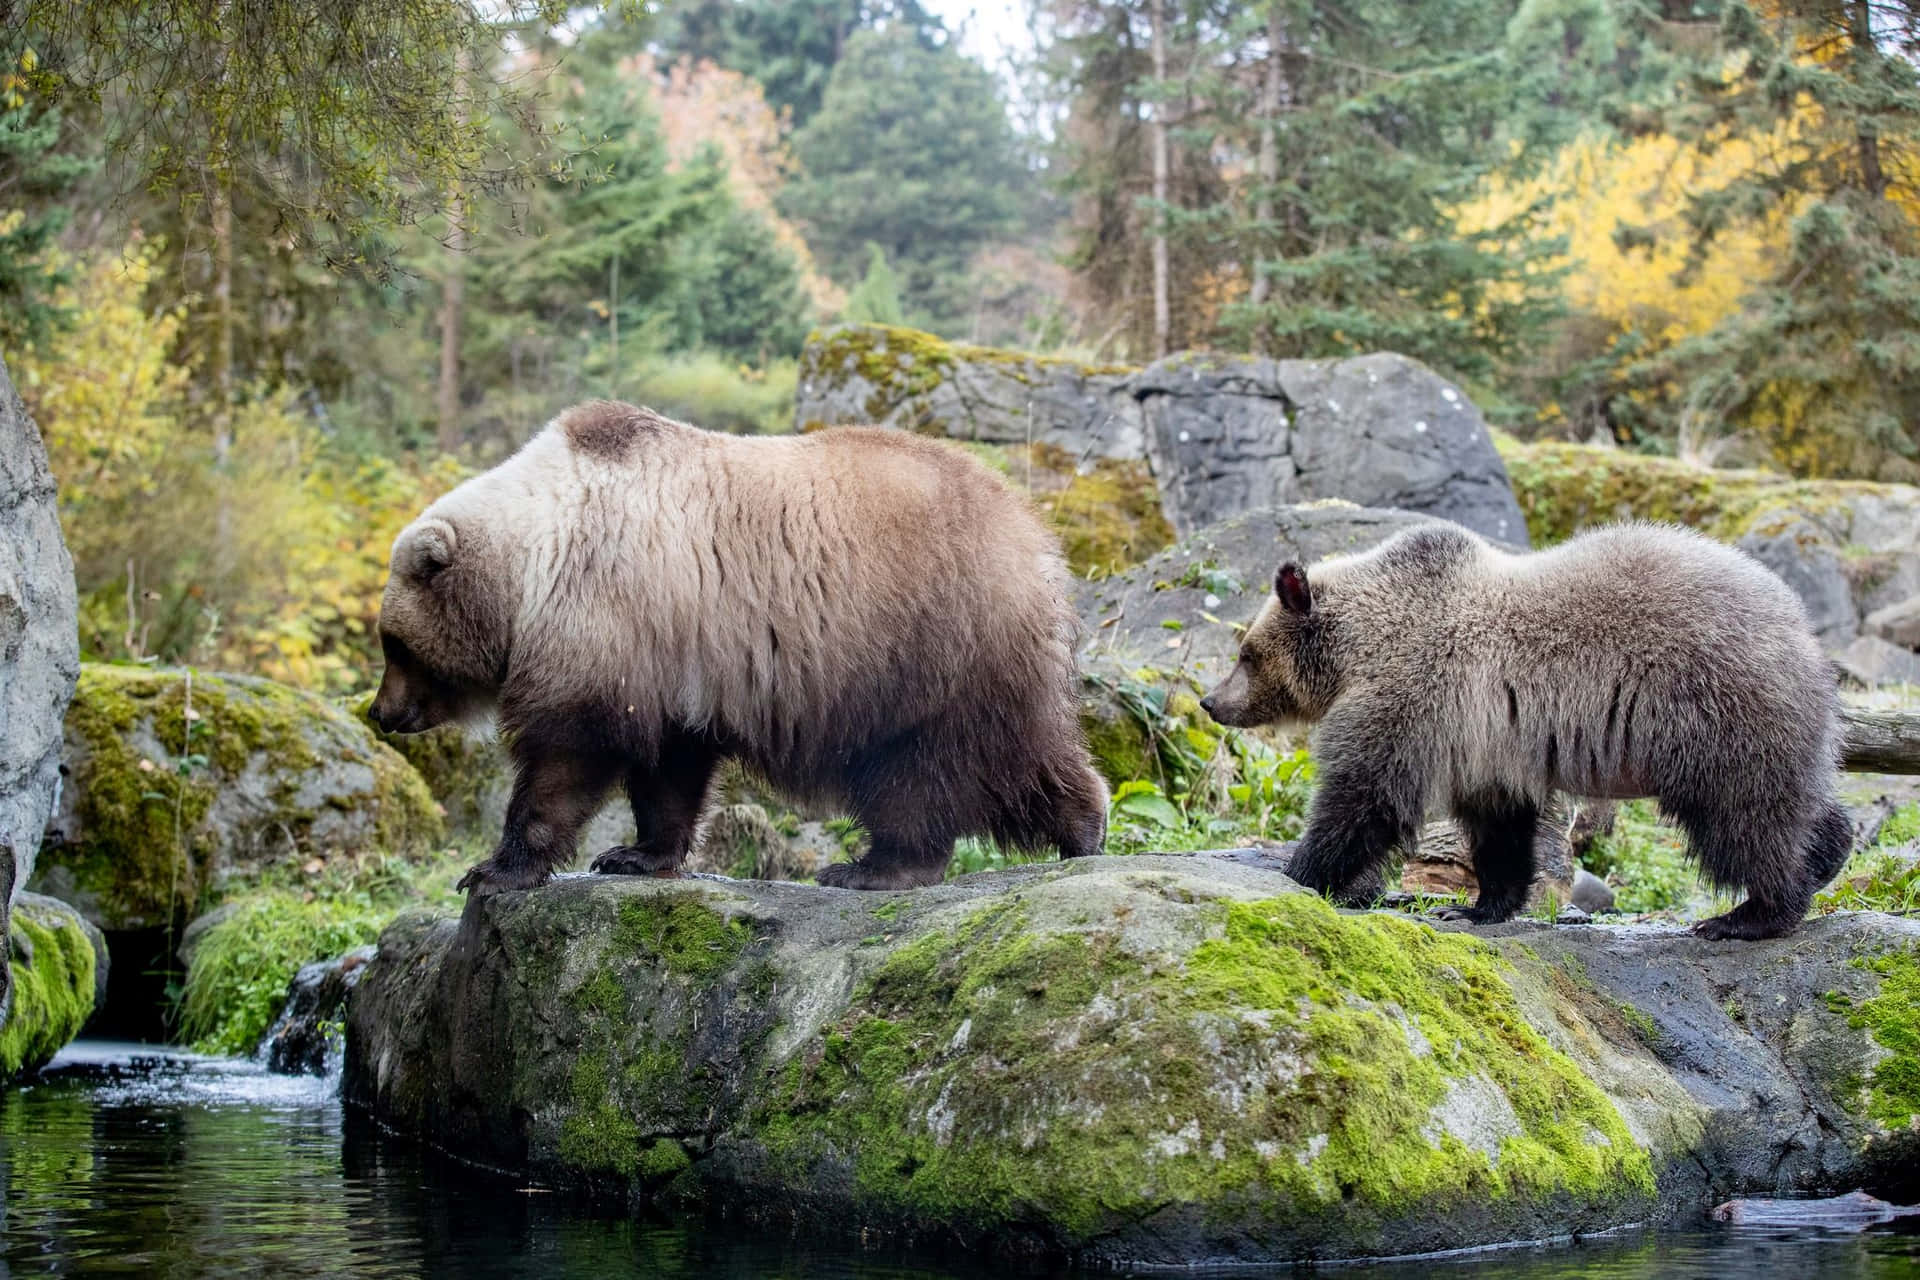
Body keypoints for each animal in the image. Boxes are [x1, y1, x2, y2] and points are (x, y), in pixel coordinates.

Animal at [368, 404, 1113, 898]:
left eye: (391, 643)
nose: (380, 713)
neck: (534, 560)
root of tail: (1033, 533)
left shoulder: (603, 615)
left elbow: (569, 752)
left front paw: (494, 868)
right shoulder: (673, 652)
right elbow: (669, 764)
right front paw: (635, 855)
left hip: (928, 643)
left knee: (924, 767)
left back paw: (872, 867)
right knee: (1026, 754)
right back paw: (1085, 827)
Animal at [1205, 521, 1850, 940]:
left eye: (1245, 653)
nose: (1213, 702)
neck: (1362, 645)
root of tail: (1801, 627)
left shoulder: (1415, 694)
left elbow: (1364, 795)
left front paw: (1303, 871)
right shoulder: (1485, 737)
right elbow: (1501, 826)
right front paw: (1472, 908)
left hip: (1712, 712)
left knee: (1744, 820)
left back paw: (1749, 915)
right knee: (1798, 802)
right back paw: (1828, 854)